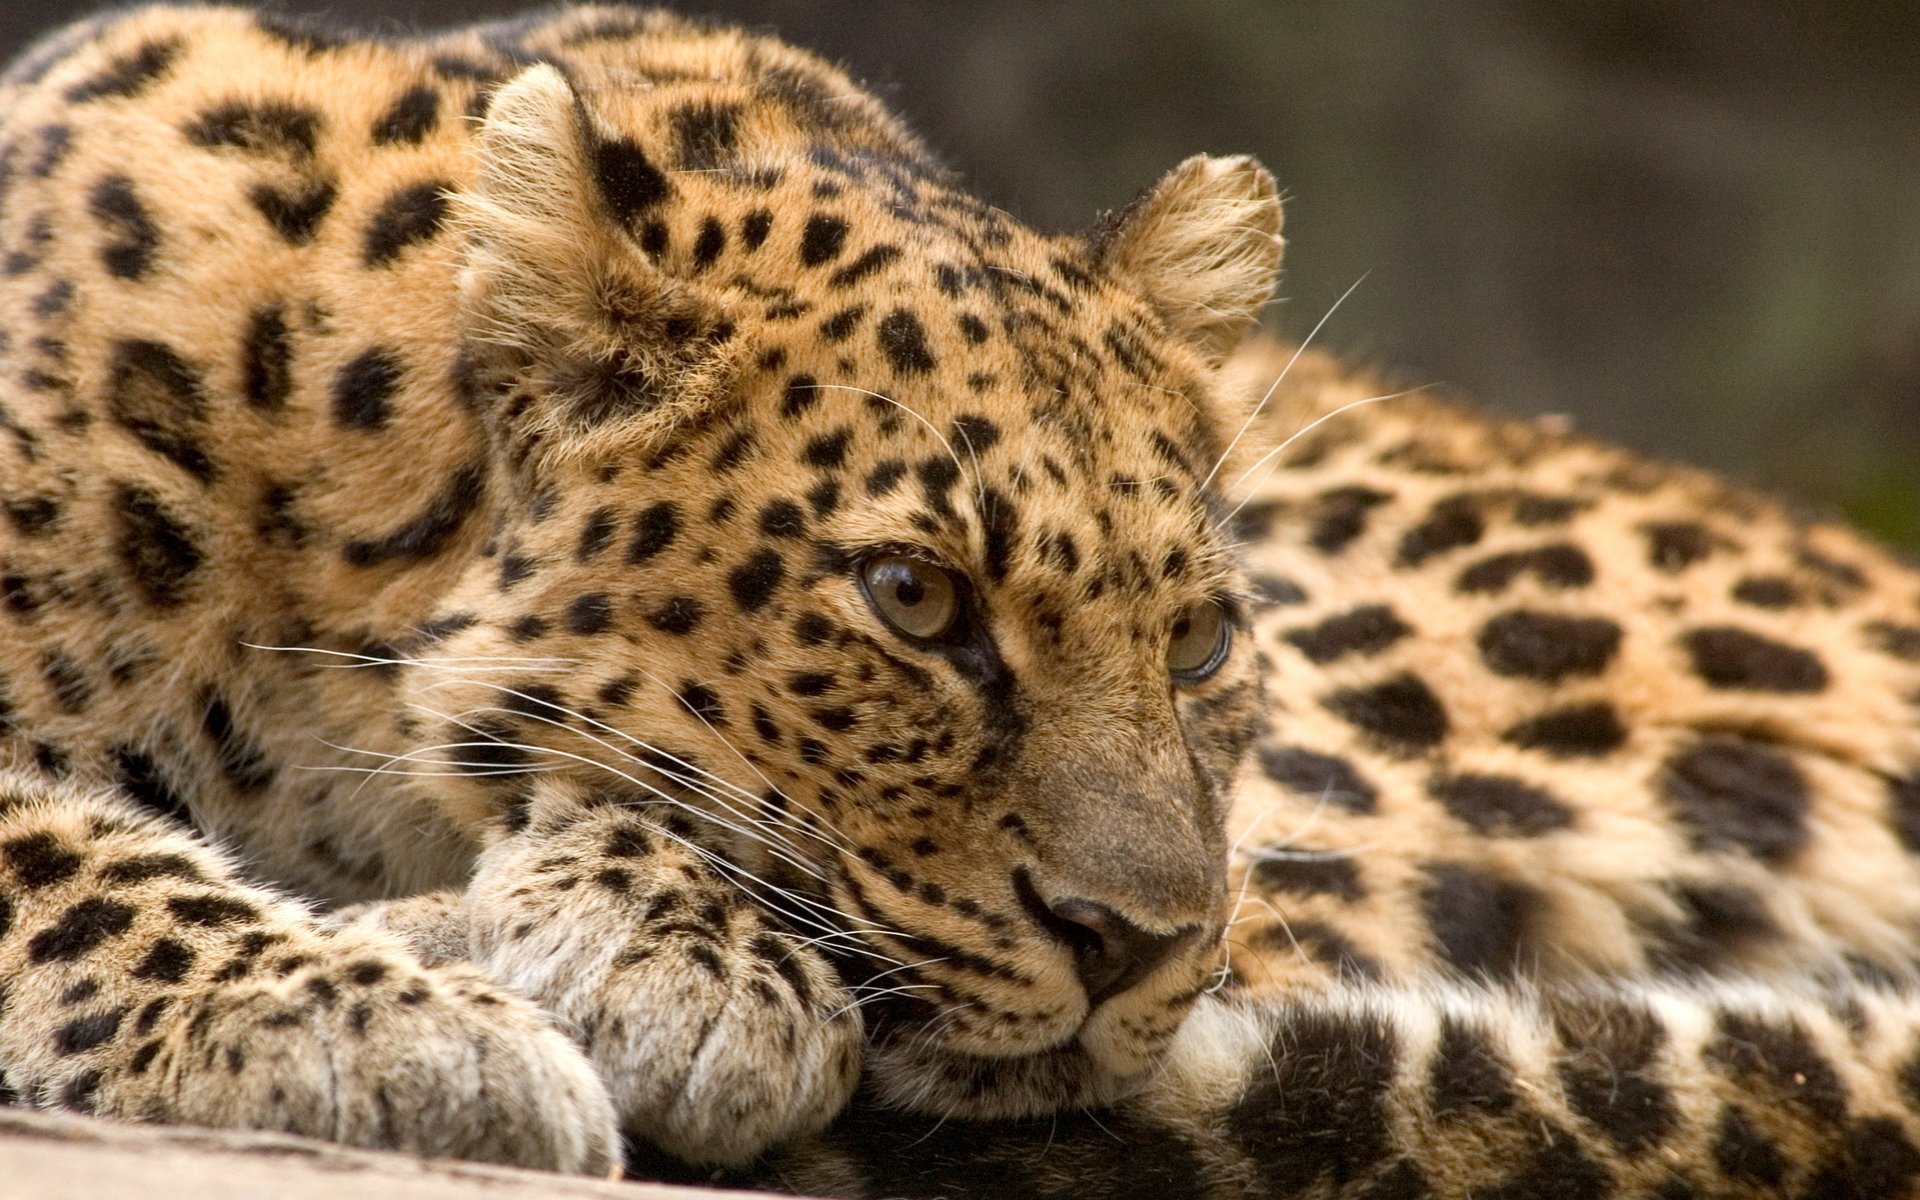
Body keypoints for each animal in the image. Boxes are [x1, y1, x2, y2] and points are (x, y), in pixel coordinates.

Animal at [3, 2, 1920, 1198]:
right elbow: (59, 850)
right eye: (915, 601)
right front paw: (391, 1023)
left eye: (1197, 637)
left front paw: (642, 961)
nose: (1133, 944)